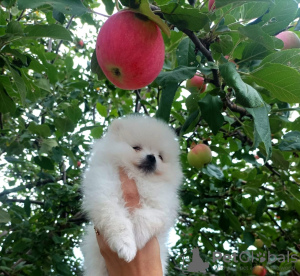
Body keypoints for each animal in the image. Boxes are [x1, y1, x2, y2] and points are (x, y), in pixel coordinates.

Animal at [81, 114, 182, 274]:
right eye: (136, 148)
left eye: (160, 156)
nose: (152, 157)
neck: (138, 178)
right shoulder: (104, 192)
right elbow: (117, 220)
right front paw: (126, 246)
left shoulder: (163, 205)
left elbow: (147, 217)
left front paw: (138, 237)